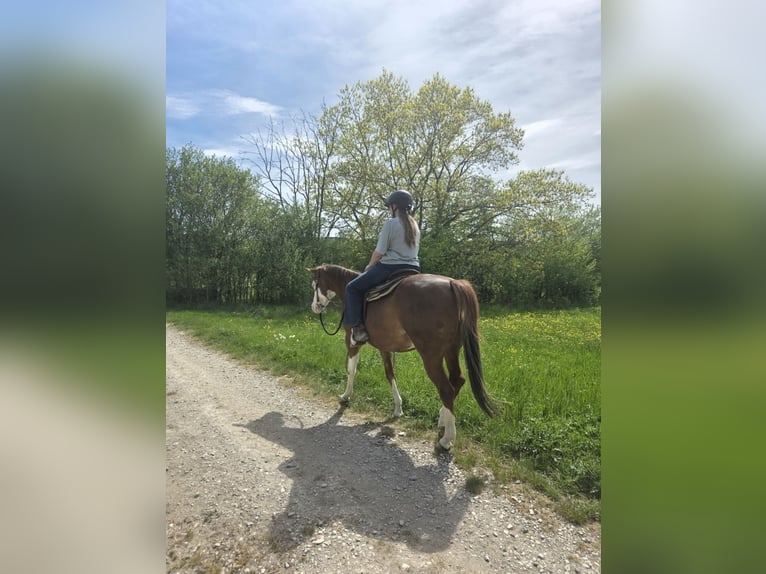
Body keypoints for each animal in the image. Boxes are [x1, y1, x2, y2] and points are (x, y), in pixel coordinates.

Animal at [307, 264, 495, 450]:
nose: (314, 307)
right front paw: (398, 408)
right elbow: (390, 374)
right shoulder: (385, 347)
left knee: (446, 389)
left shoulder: (352, 342)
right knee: (458, 380)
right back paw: (443, 418)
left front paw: (346, 396)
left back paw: (447, 439)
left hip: (431, 356)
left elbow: (351, 370)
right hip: (451, 350)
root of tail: (453, 283)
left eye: (314, 284)